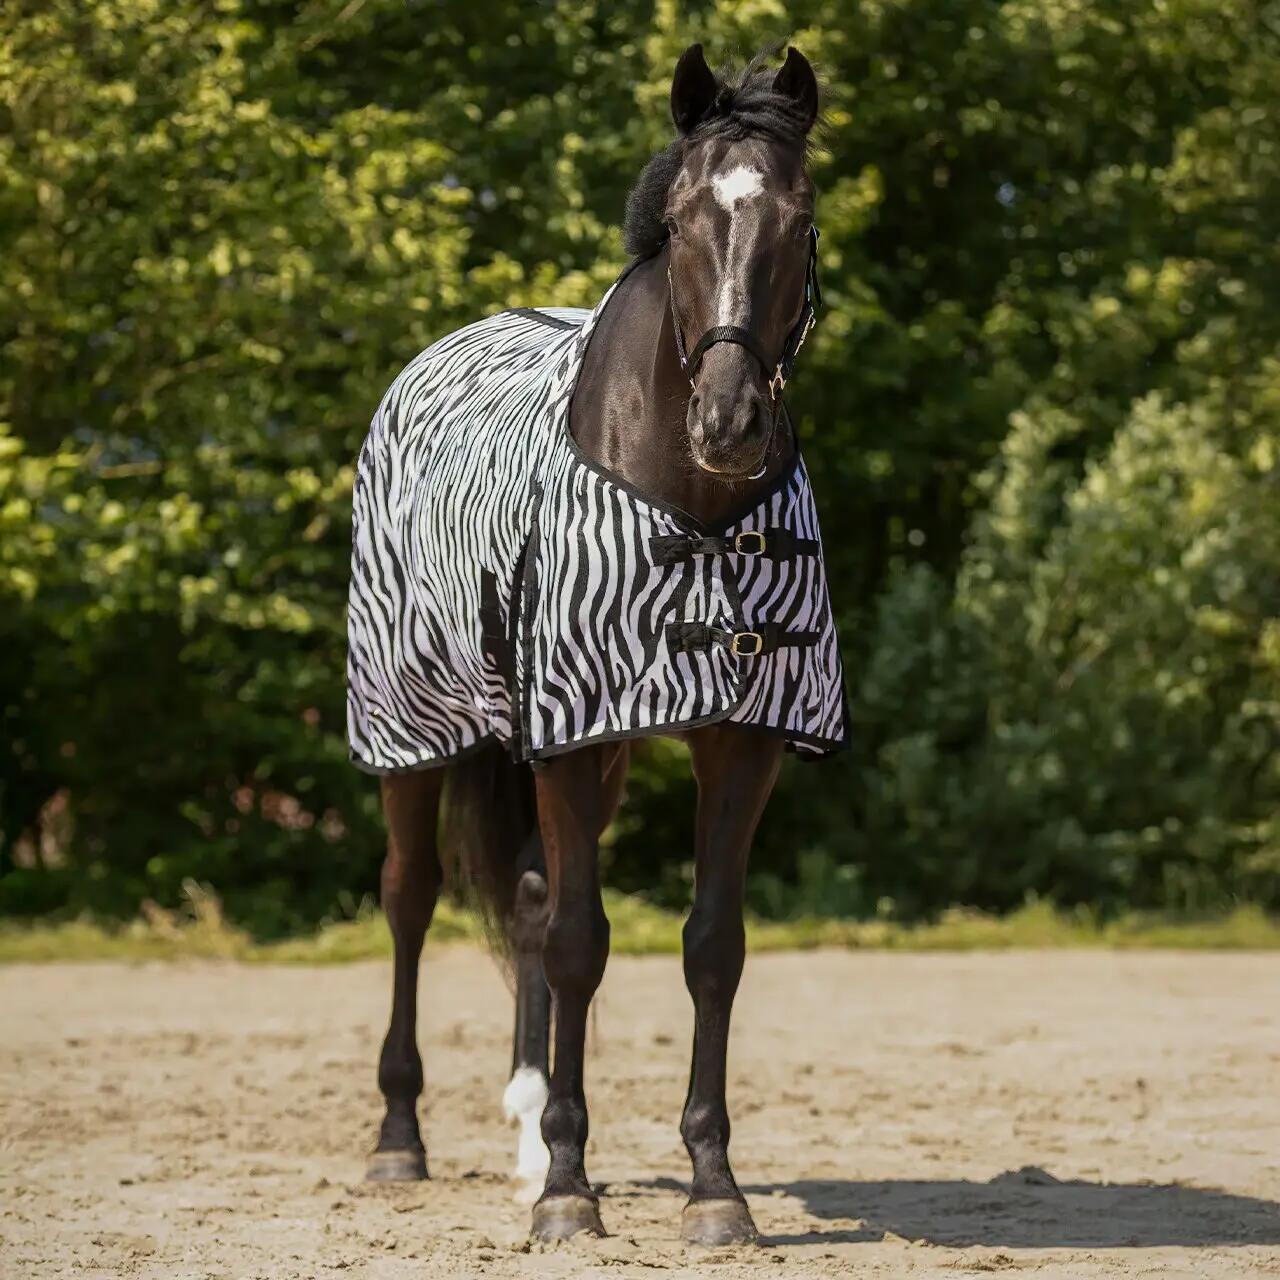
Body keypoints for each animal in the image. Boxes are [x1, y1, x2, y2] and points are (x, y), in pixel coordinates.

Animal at [348, 44, 842, 1245]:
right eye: (682, 215)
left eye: (800, 214)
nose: (729, 423)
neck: (690, 509)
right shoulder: (566, 742)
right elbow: (580, 942)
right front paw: (571, 1191)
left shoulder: (735, 740)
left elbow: (711, 946)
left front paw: (713, 1185)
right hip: (413, 729)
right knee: (411, 894)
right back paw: (401, 1138)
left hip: (596, 746)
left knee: (526, 900)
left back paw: (530, 1131)